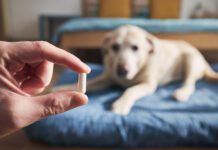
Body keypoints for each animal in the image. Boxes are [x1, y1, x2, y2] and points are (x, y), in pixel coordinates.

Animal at [53, 25, 218, 115]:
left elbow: (130, 90)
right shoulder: (107, 78)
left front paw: (121, 104)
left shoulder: (148, 85)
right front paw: (62, 88)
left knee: (190, 83)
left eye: (135, 48)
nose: (121, 71)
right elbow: (92, 82)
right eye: (115, 47)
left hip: (191, 60)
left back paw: (181, 92)